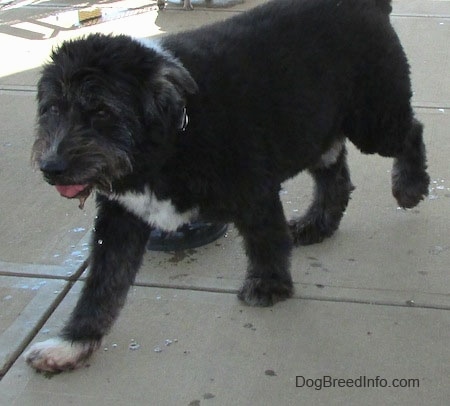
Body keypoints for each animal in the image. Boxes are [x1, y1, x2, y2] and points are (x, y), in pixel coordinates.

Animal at [24, 0, 428, 372]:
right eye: (52, 109)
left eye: (101, 111)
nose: (51, 168)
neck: (172, 132)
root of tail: (364, 4)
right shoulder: (121, 217)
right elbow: (103, 282)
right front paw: (73, 342)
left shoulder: (254, 190)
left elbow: (266, 240)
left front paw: (269, 284)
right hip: (318, 128)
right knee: (334, 173)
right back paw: (318, 223)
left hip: (373, 119)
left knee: (411, 132)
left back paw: (410, 185)